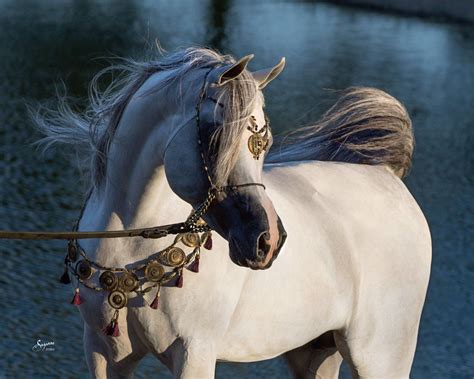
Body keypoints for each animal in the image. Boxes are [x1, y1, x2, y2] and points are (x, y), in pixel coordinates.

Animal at [35, 48, 432, 379]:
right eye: (214, 136)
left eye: (264, 142)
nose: (268, 241)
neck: (130, 248)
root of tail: (387, 176)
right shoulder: (105, 353)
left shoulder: (195, 354)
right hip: (316, 351)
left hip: (381, 357)